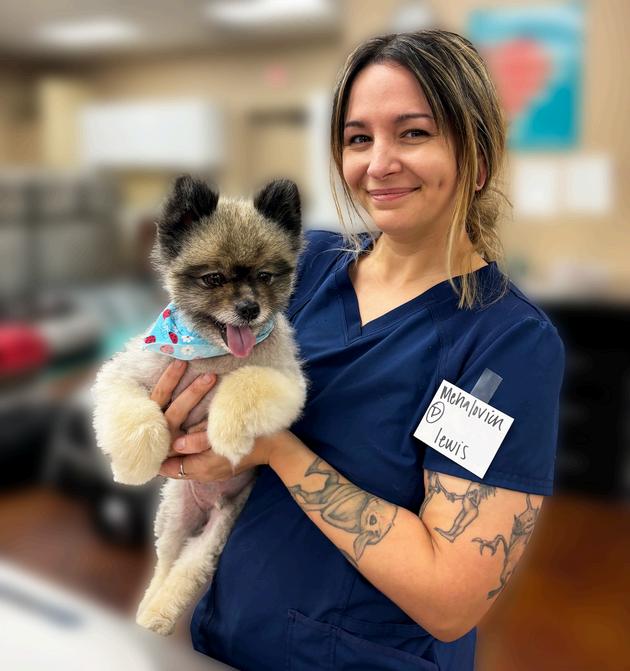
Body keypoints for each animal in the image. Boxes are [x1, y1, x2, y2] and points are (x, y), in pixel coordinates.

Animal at [92, 175, 307, 634]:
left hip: (219, 528)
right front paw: (134, 464)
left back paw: (158, 615)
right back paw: (147, 607)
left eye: (265, 276)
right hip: (174, 517)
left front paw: (226, 434)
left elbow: (244, 382)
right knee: (164, 564)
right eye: (213, 279)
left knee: (188, 569)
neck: (211, 354)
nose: (249, 308)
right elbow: (137, 416)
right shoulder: (124, 374)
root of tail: (205, 508)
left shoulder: (289, 383)